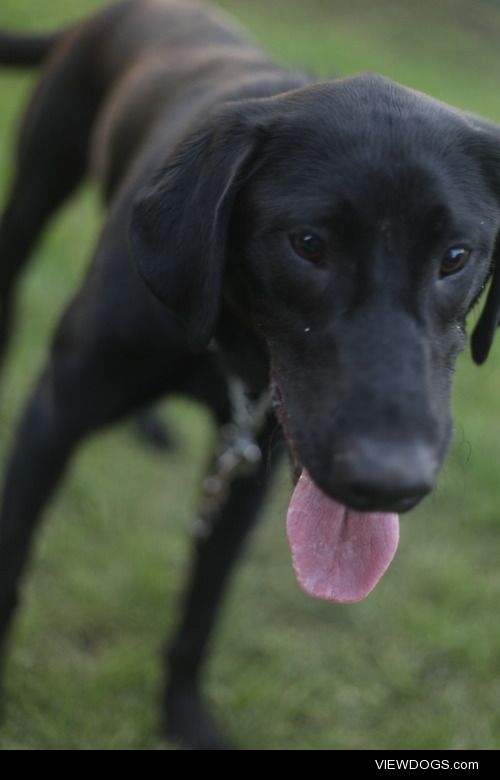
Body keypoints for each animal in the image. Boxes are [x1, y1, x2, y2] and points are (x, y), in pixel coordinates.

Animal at [0, 0, 500, 748]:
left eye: (456, 256)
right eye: (308, 244)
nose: (389, 483)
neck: (228, 342)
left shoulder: (248, 472)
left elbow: (202, 608)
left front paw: (183, 716)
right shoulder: (54, 417)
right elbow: (12, 559)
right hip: (38, 179)